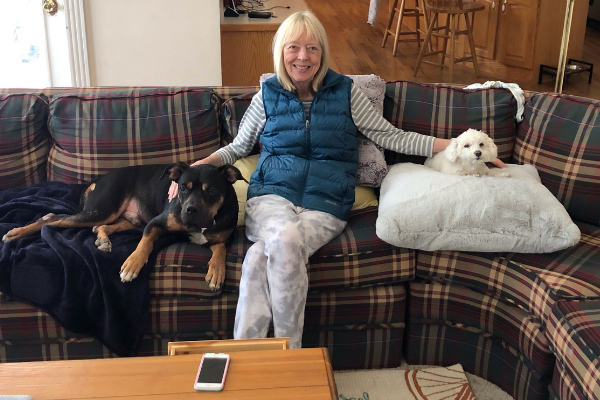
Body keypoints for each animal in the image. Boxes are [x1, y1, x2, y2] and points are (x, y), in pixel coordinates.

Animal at [1, 162, 246, 290]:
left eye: (211, 191)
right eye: (183, 188)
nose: (190, 210)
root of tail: (98, 180)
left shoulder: (222, 237)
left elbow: (220, 250)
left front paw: (216, 272)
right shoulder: (155, 224)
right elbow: (144, 244)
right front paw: (131, 266)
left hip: (126, 219)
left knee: (99, 227)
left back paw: (103, 241)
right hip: (102, 209)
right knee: (51, 218)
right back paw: (15, 233)